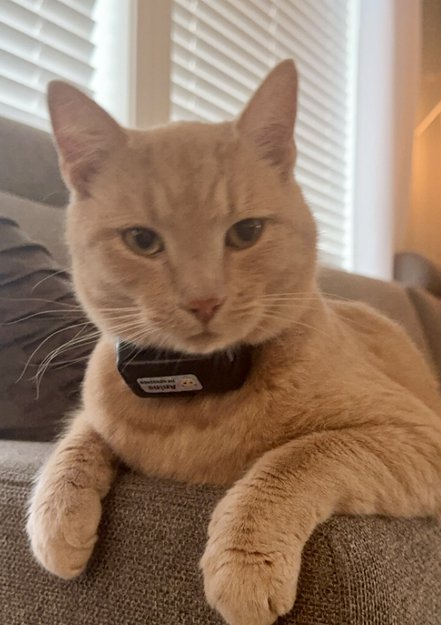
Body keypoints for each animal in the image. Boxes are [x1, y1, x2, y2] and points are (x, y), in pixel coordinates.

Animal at [26, 60, 441, 625]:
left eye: (246, 233)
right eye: (141, 241)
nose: (204, 300)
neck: (195, 399)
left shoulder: (418, 436)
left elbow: (301, 454)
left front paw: (244, 560)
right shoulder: (98, 411)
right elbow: (76, 440)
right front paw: (57, 519)